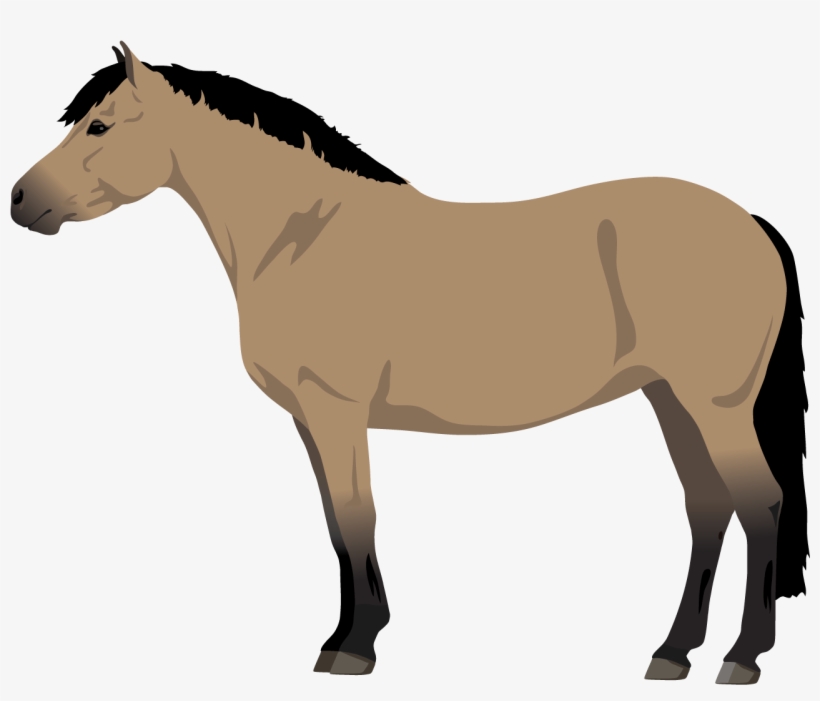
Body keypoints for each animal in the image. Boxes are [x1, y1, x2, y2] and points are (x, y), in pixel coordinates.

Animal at [10, 42, 808, 684]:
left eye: (100, 126)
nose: (21, 200)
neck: (304, 236)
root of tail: (749, 222)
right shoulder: (310, 420)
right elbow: (335, 521)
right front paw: (347, 633)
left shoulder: (336, 410)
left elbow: (357, 514)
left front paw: (354, 646)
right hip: (668, 399)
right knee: (707, 507)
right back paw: (672, 653)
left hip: (713, 404)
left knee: (760, 504)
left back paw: (742, 656)